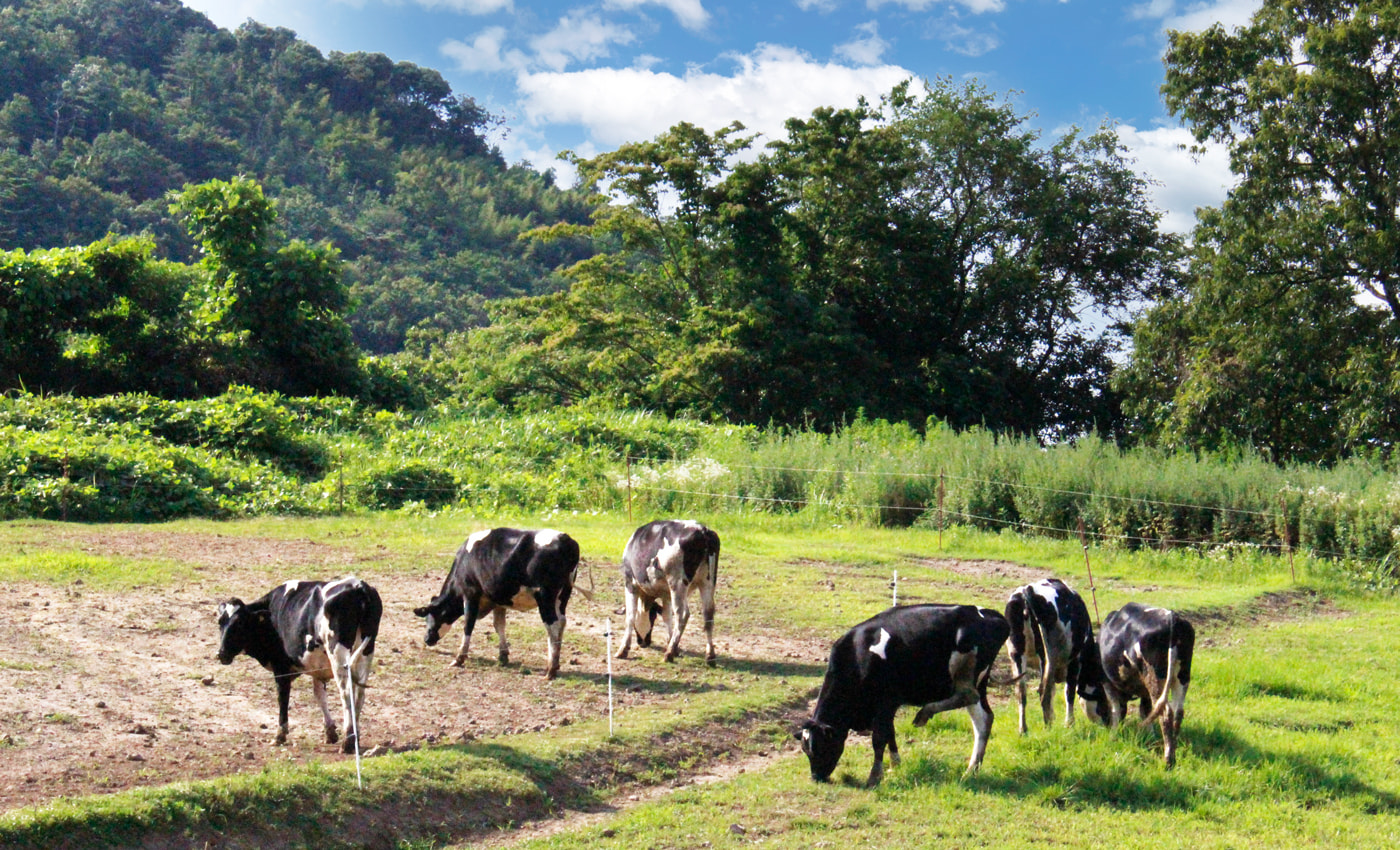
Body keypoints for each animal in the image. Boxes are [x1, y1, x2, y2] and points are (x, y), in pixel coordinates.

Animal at [411, 529, 576, 680]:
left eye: (429, 617)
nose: (427, 639)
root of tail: (565, 538)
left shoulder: (470, 594)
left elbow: (468, 625)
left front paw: (459, 658)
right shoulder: (498, 601)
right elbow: (499, 625)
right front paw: (503, 656)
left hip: (545, 597)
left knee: (553, 625)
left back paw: (551, 669)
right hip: (562, 597)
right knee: (561, 622)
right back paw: (555, 665)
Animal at [618, 518, 722, 666]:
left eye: (652, 618)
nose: (644, 642)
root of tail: (702, 529)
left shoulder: (630, 583)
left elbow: (630, 616)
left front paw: (623, 649)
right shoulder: (666, 594)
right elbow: (667, 616)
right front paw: (673, 644)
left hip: (677, 583)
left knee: (682, 614)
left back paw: (669, 653)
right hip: (707, 582)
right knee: (708, 615)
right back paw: (710, 656)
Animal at [800, 602, 1008, 789]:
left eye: (819, 747)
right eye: (805, 750)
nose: (816, 777)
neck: (858, 654)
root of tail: (990, 615)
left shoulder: (886, 700)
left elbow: (879, 738)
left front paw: (874, 777)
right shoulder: (887, 707)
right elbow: (890, 732)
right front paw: (895, 764)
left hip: (966, 667)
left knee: (968, 695)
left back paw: (925, 713)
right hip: (980, 682)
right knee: (983, 720)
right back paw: (971, 770)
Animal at [1008, 582, 1092, 733]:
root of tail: (1027, 590)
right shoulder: (1075, 662)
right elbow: (1069, 692)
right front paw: (1069, 723)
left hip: (1016, 653)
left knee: (1021, 691)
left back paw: (1023, 730)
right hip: (1046, 656)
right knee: (1043, 692)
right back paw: (1048, 727)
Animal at [1075, 602, 1198, 767]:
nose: (1103, 726)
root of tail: (1172, 618)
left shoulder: (1107, 682)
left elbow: (1117, 709)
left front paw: (1114, 734)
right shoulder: (1144, 691)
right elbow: (1145, 711)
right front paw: (1151, 737)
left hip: (1154, 676)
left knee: (1165, 712)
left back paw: (1168, 760)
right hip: (1182, 676)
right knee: (1178, 713)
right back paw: (1174, 749)